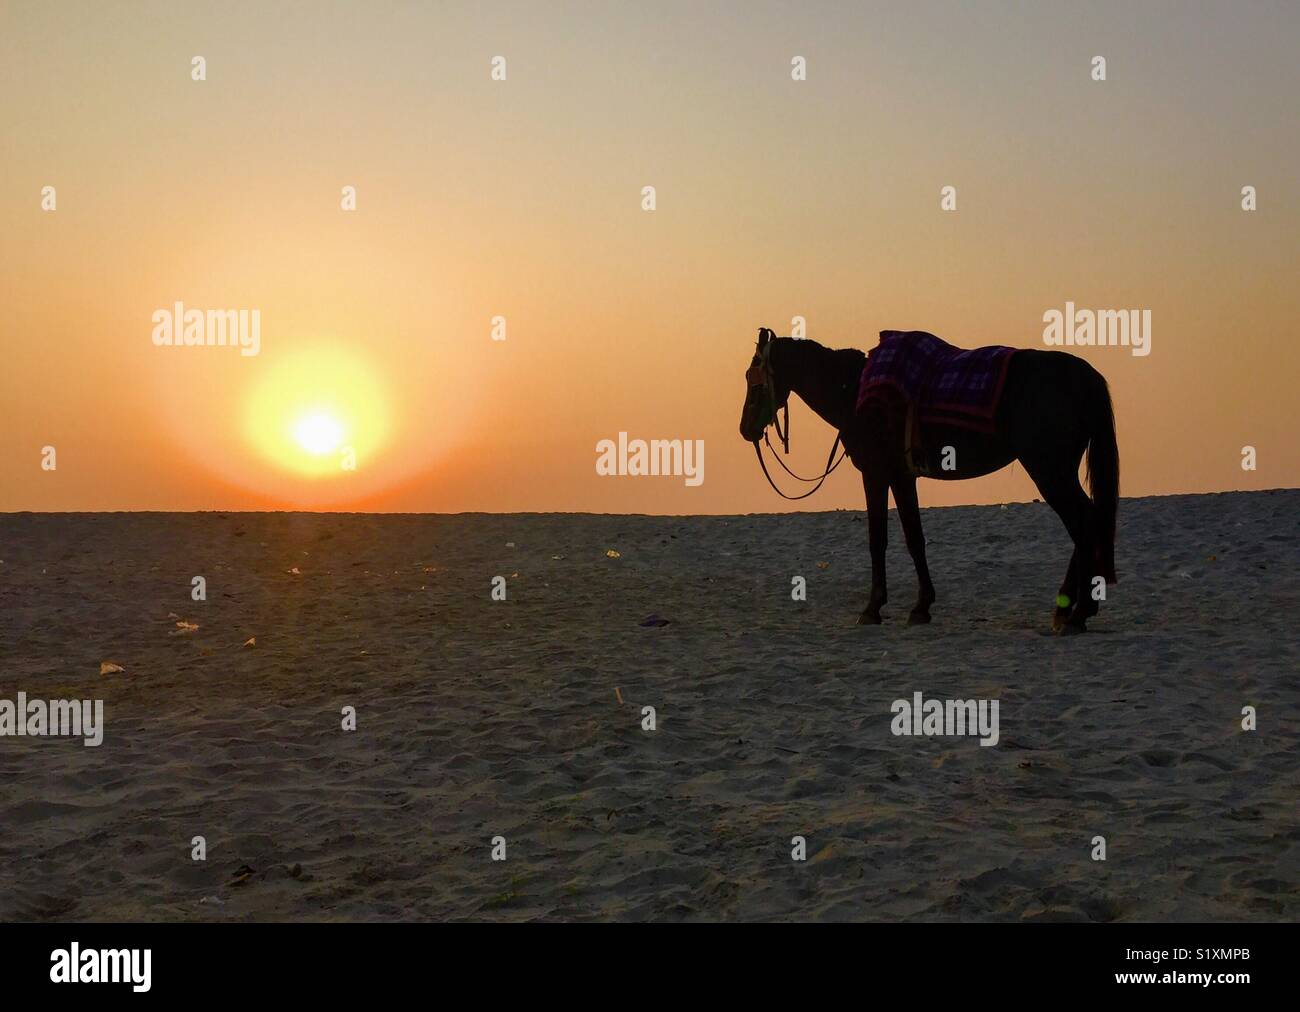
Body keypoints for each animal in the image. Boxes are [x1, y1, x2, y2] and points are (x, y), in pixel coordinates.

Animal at [743, 331, 1118, 629]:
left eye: (753, 379)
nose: (745, 429)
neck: (855, 390)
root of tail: (1085, 376)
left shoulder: (875, 473)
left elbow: (877, 539)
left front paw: (872, 608)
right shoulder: (902, 475)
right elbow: (914, 538)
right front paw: (921, 606)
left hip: (1049, 469)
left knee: (1083, 524)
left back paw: (1077, 613)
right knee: (1088, 522)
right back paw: (1068, 609)